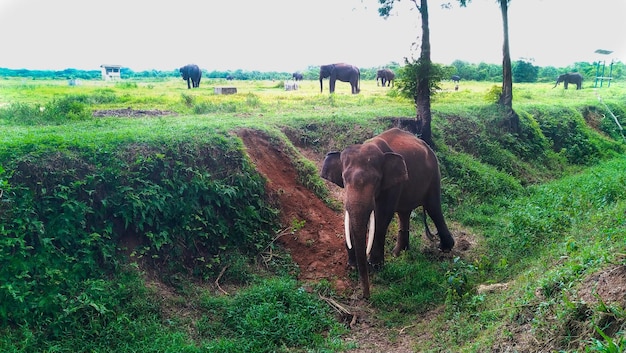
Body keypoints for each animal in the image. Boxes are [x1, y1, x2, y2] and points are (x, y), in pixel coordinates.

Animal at [322, 126, 454, 296]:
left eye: (377, 180)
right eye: (344, 180)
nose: (366, 296)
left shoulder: (392, 184)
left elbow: (382, 215)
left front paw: (375, 266)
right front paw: (353, 265)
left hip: (434, 175)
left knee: (433, 208)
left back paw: (445, 248)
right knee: (404, 212)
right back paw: (399, 253)